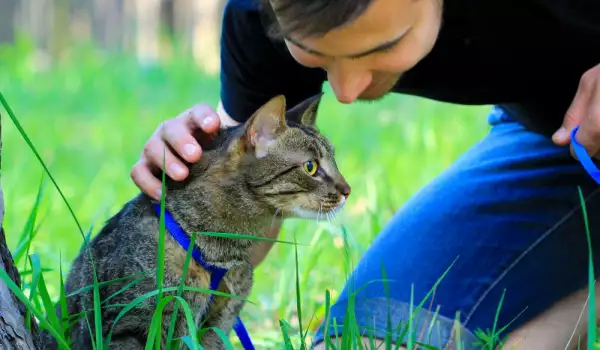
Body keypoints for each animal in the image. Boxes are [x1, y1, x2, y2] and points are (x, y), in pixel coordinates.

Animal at [39, 93, 352, 350]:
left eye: (335, 162)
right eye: (311, 167)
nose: (347, 189)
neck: (222, 248)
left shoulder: (220, 323)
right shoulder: (127, 322)